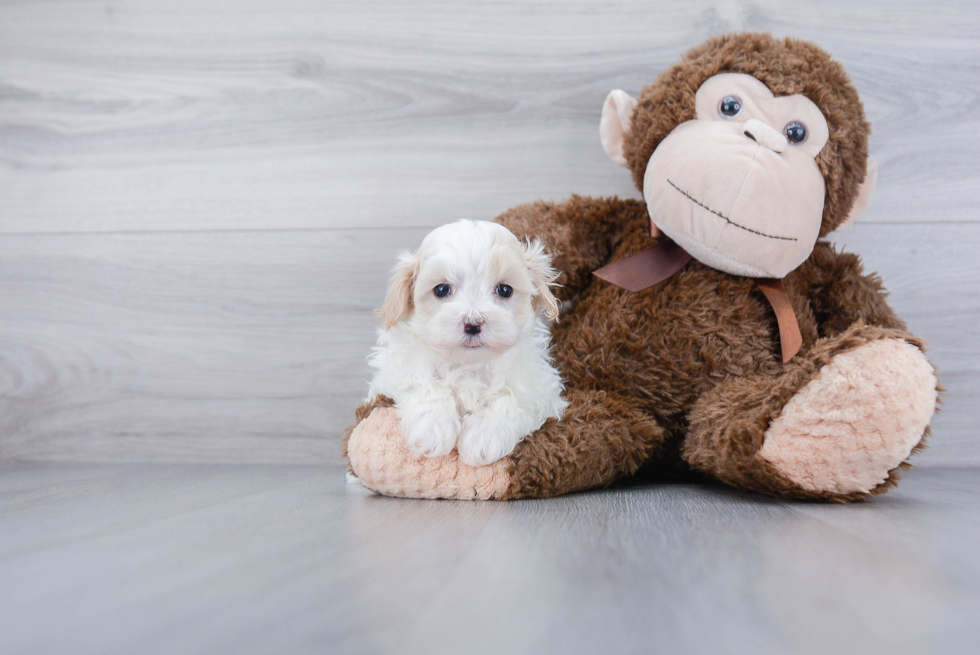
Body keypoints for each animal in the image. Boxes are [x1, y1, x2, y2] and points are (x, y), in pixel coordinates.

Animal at [366, 220, 568, 466]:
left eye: (504, 289)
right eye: (441, 289)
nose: (473, 323)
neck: (468, 365)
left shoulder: (539, 388)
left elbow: (511, 398)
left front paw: (484, 438)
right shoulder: (394, 372)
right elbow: (423, 382)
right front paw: (431, 428)